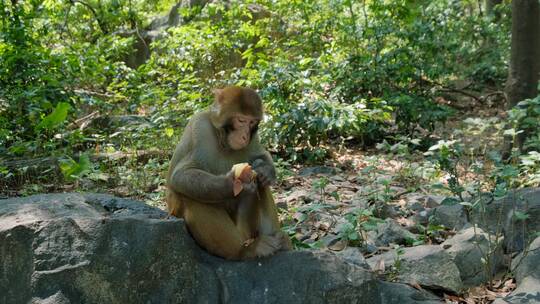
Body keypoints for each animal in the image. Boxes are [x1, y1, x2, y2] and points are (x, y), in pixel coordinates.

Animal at [167, 86, 292, 262]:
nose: (245, 135)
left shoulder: (254, 138)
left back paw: (279, 240)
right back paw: (244, 251)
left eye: (251, 122)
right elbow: (182, 174)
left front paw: (265, 171)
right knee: (190, 196)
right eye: (240, 120)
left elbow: (261, 156)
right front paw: (231, 183)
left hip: (246, 229)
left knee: (261, 186)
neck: (223, 141)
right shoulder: (200, 127)